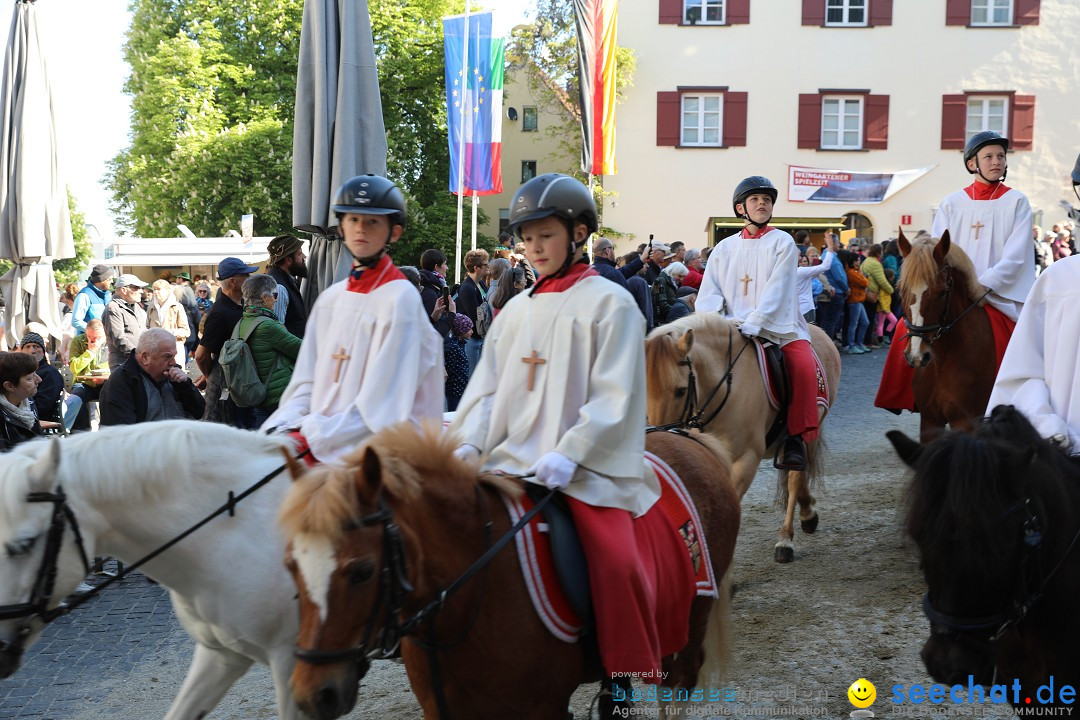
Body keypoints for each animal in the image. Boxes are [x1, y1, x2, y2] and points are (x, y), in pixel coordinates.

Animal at [276, 423, 743, 720]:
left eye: (363, 571)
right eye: (290, 566)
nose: (312, 695)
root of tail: (688, 436)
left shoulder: (541, 710)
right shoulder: (443, 711)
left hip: (689, 624)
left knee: (677, 686)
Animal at [643, 315, 838, 561]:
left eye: (680, 390)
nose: (661, 437)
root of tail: (819, 330)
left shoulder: (746, 459)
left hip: (811, 429)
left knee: (795, 478)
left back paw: (786, 539)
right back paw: (807, 513)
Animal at [894, 227, 993, 442]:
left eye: (941, 292)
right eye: (902, 290)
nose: (917, 355)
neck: (943, 362)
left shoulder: (966, 422)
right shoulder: (930, 421)